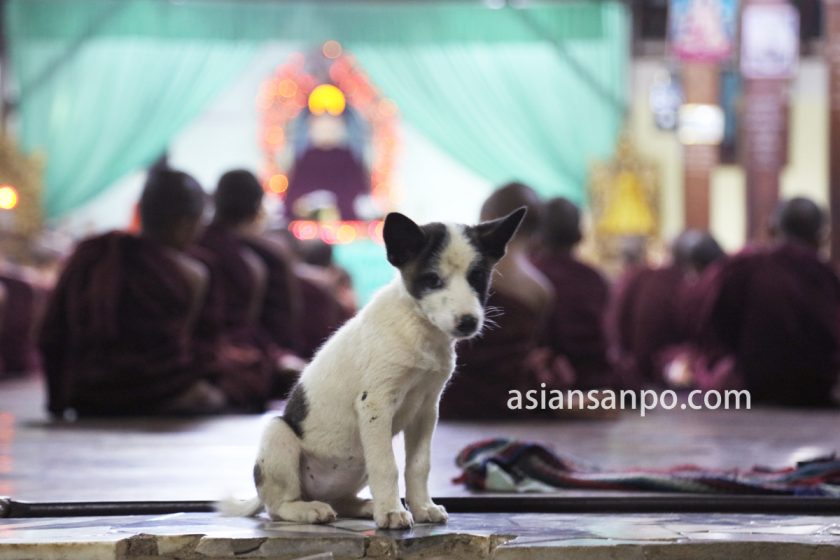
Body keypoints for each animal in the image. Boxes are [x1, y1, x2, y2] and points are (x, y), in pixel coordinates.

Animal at [223, 209, 524, 528]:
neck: (418, 329)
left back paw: (364, 506)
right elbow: (387, 466)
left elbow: (418, 466)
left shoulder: (426, 411)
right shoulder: (376, 403)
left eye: (477, 277)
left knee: (340, 501)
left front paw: (421, 507)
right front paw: (391, 512)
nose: (468, 322)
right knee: (278, 506)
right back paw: (308, 510)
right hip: (278, 434)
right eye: (432, 279)